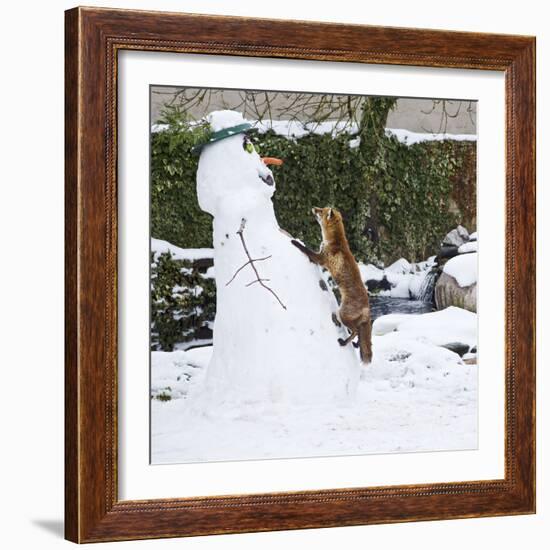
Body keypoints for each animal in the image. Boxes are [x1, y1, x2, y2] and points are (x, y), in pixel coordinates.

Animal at [292, 207, 374, 366]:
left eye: (320, 211)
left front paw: (295, 242)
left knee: (355, 331)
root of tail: (367, 307)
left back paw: (344, 342)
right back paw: (354, 344)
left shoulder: (320, 259)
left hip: (342, 314)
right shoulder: (320, 257)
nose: (313, 207)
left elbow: (306, 249)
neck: (335, 241)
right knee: (358, 334)